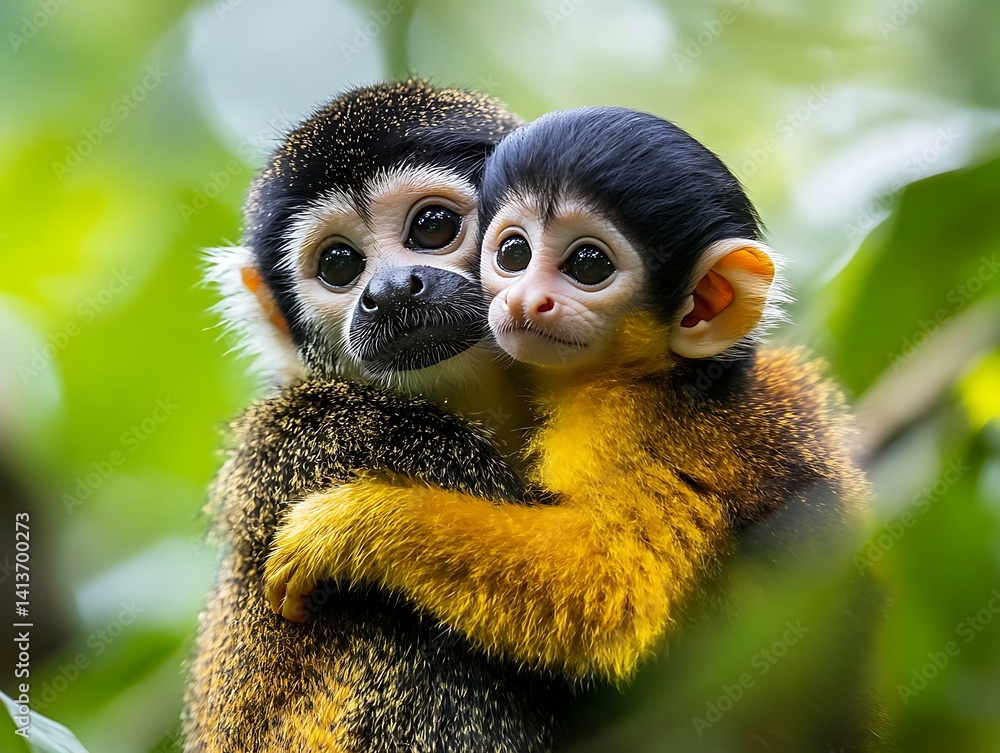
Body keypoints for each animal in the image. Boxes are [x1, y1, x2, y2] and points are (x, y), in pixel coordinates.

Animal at [262, 106, 870, 686]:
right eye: (513, 252)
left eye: (588, 264)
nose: (526, 300)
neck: (652, 373)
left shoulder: (621, 424)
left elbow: (607, 590)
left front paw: (355, 524)